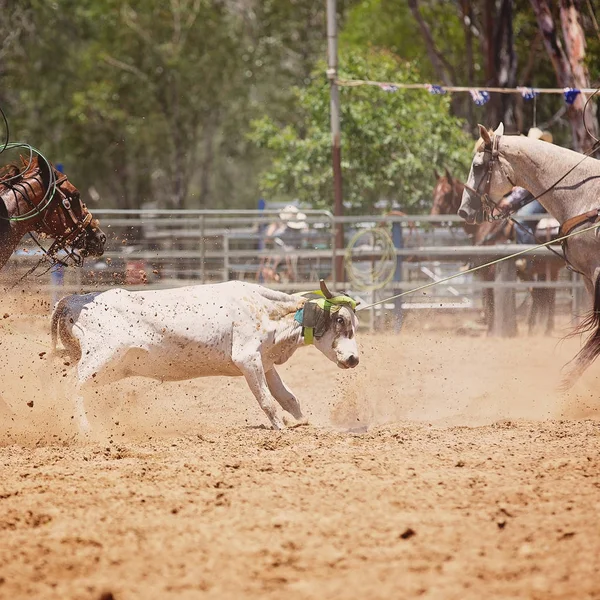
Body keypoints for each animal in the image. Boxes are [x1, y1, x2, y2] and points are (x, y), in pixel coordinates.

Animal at [434, 169, 560, 336]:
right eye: (434, 191)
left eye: (446, 193)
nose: (433, 217)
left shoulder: (490, 270)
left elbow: (490, 298)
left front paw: (491, 330)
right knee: (543, 295)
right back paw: (539, 328)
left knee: (547, 295)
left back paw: (544, 329)